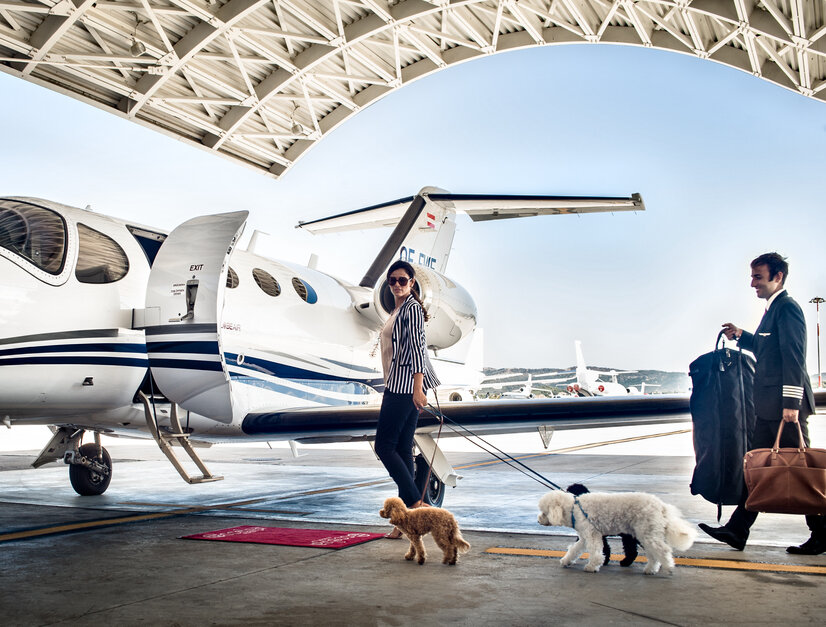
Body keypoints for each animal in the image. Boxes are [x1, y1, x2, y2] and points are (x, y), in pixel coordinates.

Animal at [536, 494, 696, 576]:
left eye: (544, 512)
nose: (538, 520)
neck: (573, 508)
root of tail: (662, 506)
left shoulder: (592, 534)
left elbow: (595, 552)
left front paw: (593, 566)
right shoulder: (584, 536)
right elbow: (574, 549)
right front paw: (566, 561)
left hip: (647, 533)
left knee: (662, 550)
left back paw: (668, 567)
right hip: (646, 533)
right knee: (653, 553)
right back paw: (651, 569)